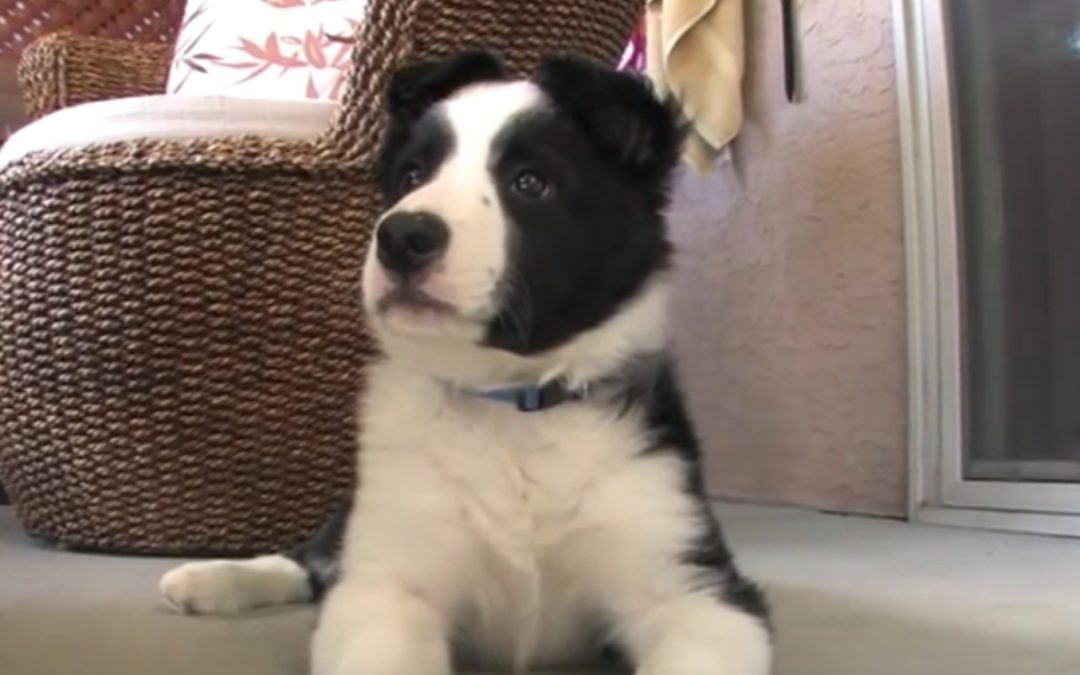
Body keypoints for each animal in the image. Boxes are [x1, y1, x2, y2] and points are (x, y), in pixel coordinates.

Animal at [157, 51, 768, 673]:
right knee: (314, 556)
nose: (402, 237)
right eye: (411, 176)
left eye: (530, 183)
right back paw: (211, 579)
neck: (512, 406)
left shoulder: (695, 588)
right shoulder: (387, 581)